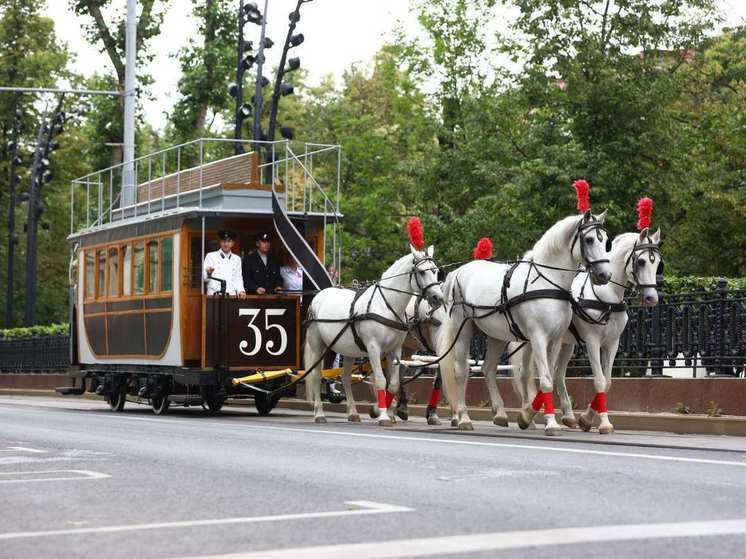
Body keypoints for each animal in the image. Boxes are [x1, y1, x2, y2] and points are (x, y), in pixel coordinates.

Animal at [306, 245, 444, 424]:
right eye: (421, 272)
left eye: (436, 271)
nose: (438, 297)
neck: (386, 305)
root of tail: (320, 294)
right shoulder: (373, 348)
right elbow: (380, 380)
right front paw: (383, 415)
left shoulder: (395, 349)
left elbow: (393, 383)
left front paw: (383, 410)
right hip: (318, 346)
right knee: (316, 376)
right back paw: (319, 413)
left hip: (347, 349)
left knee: (345, 377)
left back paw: (353, 413)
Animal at [436, 212, 612, 436]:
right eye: (589, 239)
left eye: (605, 241)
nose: (604, 275)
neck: (547, 282)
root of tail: (458, 272)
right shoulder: (538, 338)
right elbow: (545, 380)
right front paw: (550, 423)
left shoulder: (554, 341)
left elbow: (546, 378)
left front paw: (528, 415)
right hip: (463, 329)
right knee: (461, 372)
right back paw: (464, 418)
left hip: (496, 336)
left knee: (488, 368)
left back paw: (500, 414)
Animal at [508, 228, 660, 434]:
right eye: (642, 261)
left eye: (658, 262)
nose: (652, 298)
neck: (607, 296)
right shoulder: (592, 341)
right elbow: (599, 380)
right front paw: (602, 422)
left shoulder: (612, 344)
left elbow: (607, 381)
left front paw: (587, 418)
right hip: (529, 341)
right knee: (525, 373)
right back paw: (527, 414)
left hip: (565, 345)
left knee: (557, 375)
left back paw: (566, 416)